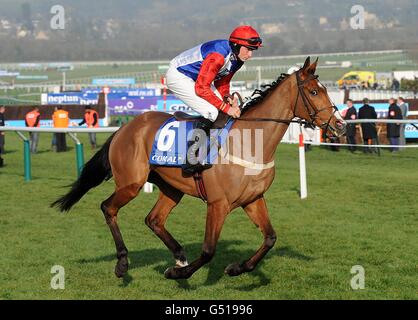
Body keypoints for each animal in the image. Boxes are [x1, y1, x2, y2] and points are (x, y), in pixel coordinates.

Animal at [51, 57, 346, 280]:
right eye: (314, 92)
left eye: (324, 89)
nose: (340, 125)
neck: (251, 141)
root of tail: (124, 128)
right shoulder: (218, 203)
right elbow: (208, 250)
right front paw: (178, 274)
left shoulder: (253, 199)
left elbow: (270, 238)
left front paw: (238, 268)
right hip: (131, 183)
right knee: (108, 208)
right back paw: (124, 263)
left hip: (171, 188)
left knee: (153, 219)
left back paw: (179, 256)